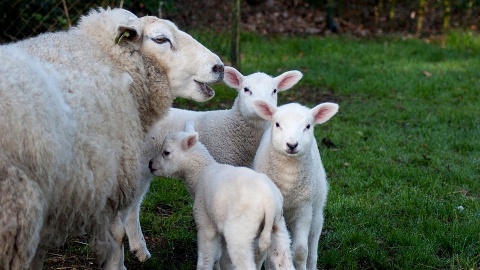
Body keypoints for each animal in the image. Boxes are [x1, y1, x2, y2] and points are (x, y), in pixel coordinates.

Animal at [149, 123, 296, 268]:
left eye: (166, 152)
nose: (150, 164)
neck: (199, 173)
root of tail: (269, 201)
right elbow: (222, 259)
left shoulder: (205, 223)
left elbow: (206, 258)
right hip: (278, 226)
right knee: (283, 259)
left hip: (240, 231)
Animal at [251, 99, 338, 270]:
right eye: (277, 124)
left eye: (308, 126)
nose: (292, 145)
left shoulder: (303, 209)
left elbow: (300, 251)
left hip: (316, 211)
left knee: (313, 239)